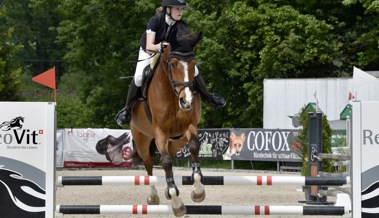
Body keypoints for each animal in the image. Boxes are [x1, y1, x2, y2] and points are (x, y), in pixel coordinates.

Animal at [131, 26, 208, 216]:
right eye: (173, 64)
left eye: (194, 63)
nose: (187, 101)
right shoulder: (159, 132)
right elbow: (165, 161)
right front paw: (177, 203)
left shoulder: (189, 125)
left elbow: (194, 147)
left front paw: (198, 191)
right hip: (142, 140)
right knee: (149, 163)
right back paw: (153, 197)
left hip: (177, 141)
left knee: (170, 155)